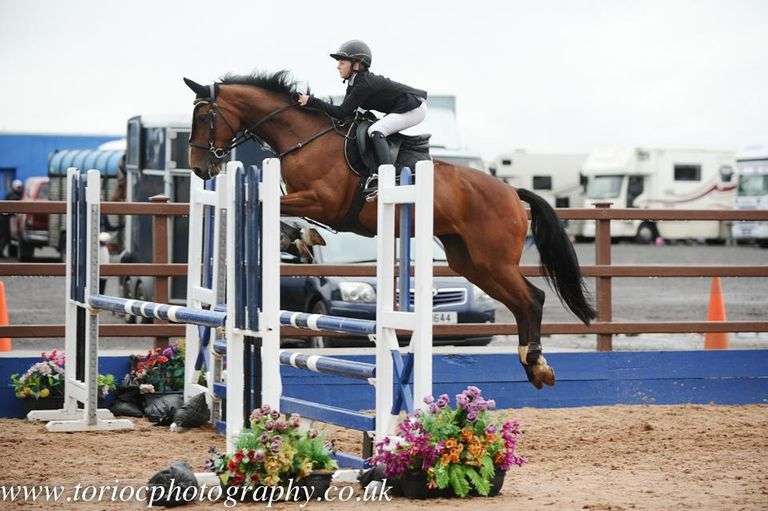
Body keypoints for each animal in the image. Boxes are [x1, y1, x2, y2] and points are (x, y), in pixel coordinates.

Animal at [184, 71, 596, 389]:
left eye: (204, 117)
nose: (200, 168)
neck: (304, 138)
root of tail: (511, 191)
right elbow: (275, 209)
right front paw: (300, 241)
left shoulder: (321, 202)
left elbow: (275, 207)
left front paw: (300, 240)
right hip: (471, 262)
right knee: (521, 302)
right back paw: (534, 366)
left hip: (493, 260)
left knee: (532, 299)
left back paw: (537, 364)